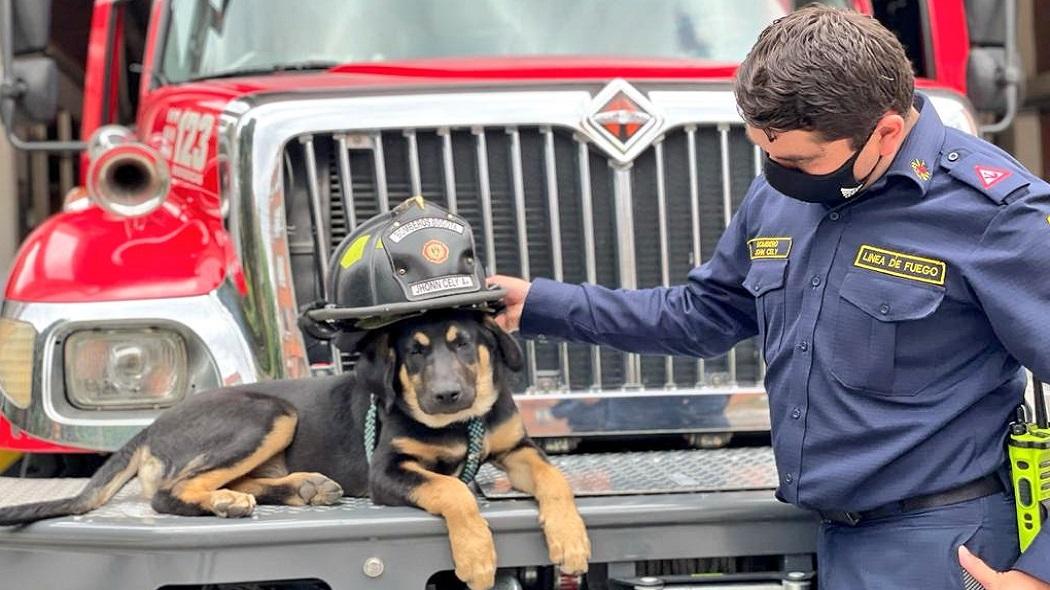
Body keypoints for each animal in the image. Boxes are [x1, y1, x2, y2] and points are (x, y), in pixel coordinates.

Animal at [0, 310, 592, 583]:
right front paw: (476, 556)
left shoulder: (517, 448)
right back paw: (229, 502)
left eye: (463, 344)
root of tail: (151, 426)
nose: (448, 395)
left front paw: (570, 541)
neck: (454, 426)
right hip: (269, 413)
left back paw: (296, 489)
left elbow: (554, 479)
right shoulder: (388, 472)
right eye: (415, 353)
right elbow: (455, 492)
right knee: (169, 491)